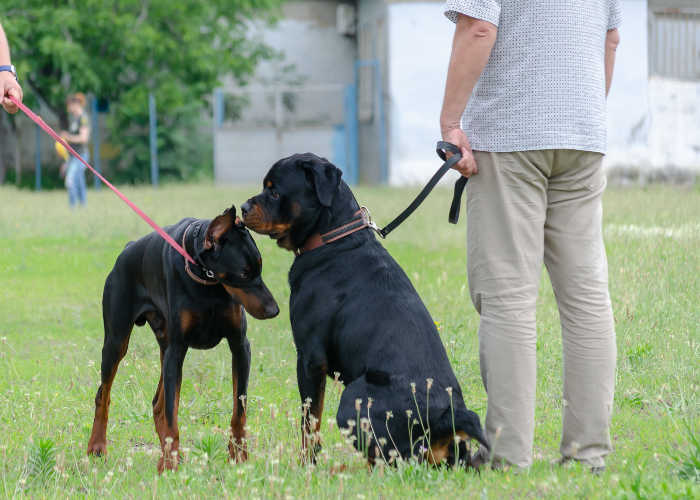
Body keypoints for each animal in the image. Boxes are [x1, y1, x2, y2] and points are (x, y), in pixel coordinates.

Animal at [89, 206, 280, 472]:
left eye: (260, 266)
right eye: (243, 273)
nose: (274, 310)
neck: (207, 279)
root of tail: (127, 249)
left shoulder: (240, 346)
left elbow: (239, 409)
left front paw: (238, 455)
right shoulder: (177, 349)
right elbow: (172, 412)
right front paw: (169, 466)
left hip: (164, 348)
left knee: (157, 404)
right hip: (118, 342)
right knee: (104, 394)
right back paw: (98, 447)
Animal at [243, 154, 490, 466]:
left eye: (274, 191)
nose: (243, 207)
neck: (332, 238)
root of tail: (447, 416)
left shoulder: (310, 357)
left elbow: (310, 422)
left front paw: (305, 465)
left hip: (355, 396)